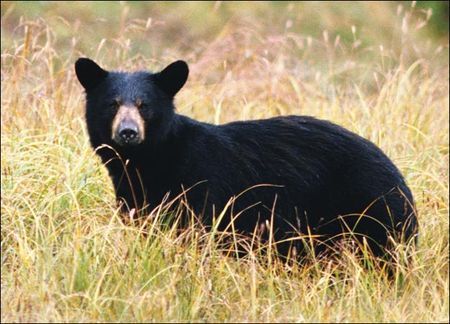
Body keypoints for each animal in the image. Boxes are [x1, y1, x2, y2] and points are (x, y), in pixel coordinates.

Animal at [74, 57, 418, 258]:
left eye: (144, 105)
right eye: (112, 104)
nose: (128, 132)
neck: (147, 162)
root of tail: (399, 178)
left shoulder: (202, 188)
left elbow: (201, 233)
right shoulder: (135, 196)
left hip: (368, 210)